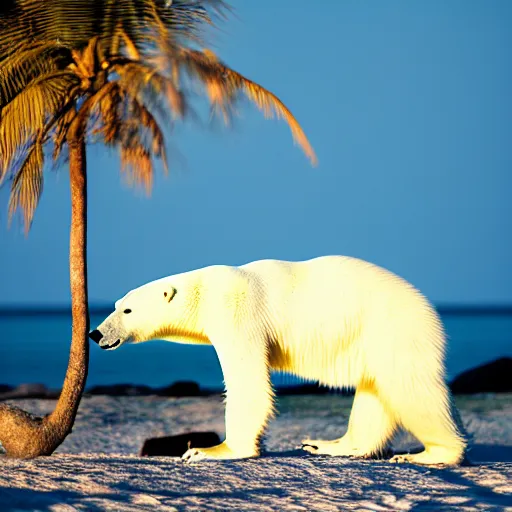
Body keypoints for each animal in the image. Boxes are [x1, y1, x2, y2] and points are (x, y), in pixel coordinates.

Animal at [90, 255, 466, 464]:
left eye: (127, 310)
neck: (204, 289)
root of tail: (431, 312)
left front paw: (211, 450)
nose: (95, 334)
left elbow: (249, 383)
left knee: (412, 390)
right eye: (115, 305)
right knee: (373, 391)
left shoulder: (237, 310)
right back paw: (327, 445)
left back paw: (433, 453)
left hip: (393, 330)